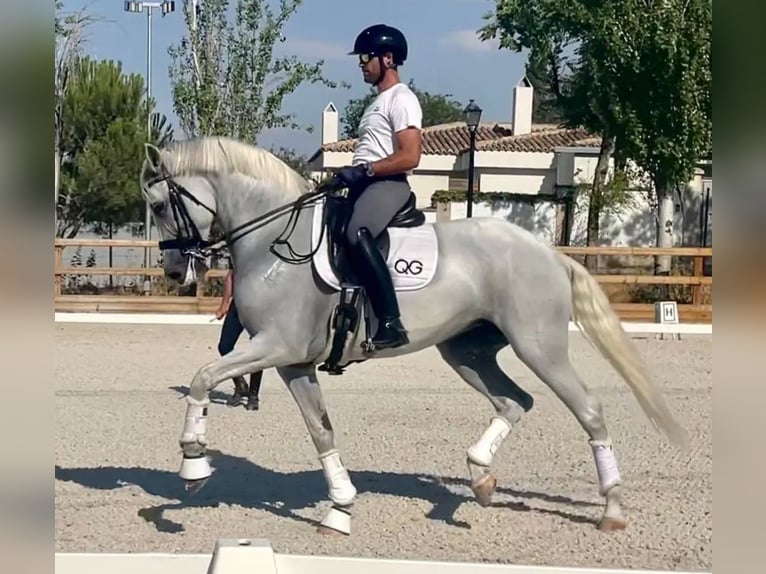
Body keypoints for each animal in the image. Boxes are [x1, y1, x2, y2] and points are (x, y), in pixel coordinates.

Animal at [141, 136, 692, 540]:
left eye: (159, 204)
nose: (173, 272)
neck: (276, 241)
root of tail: (549, 252)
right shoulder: (292, 361)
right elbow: (321, 432)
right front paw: (339, 510)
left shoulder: (277, 346)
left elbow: (202, 377)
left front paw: (192, 464)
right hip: (467, 351)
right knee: (515, 401)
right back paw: (480, 478)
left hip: (540, 346)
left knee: (588, 410)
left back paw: (612, 509)